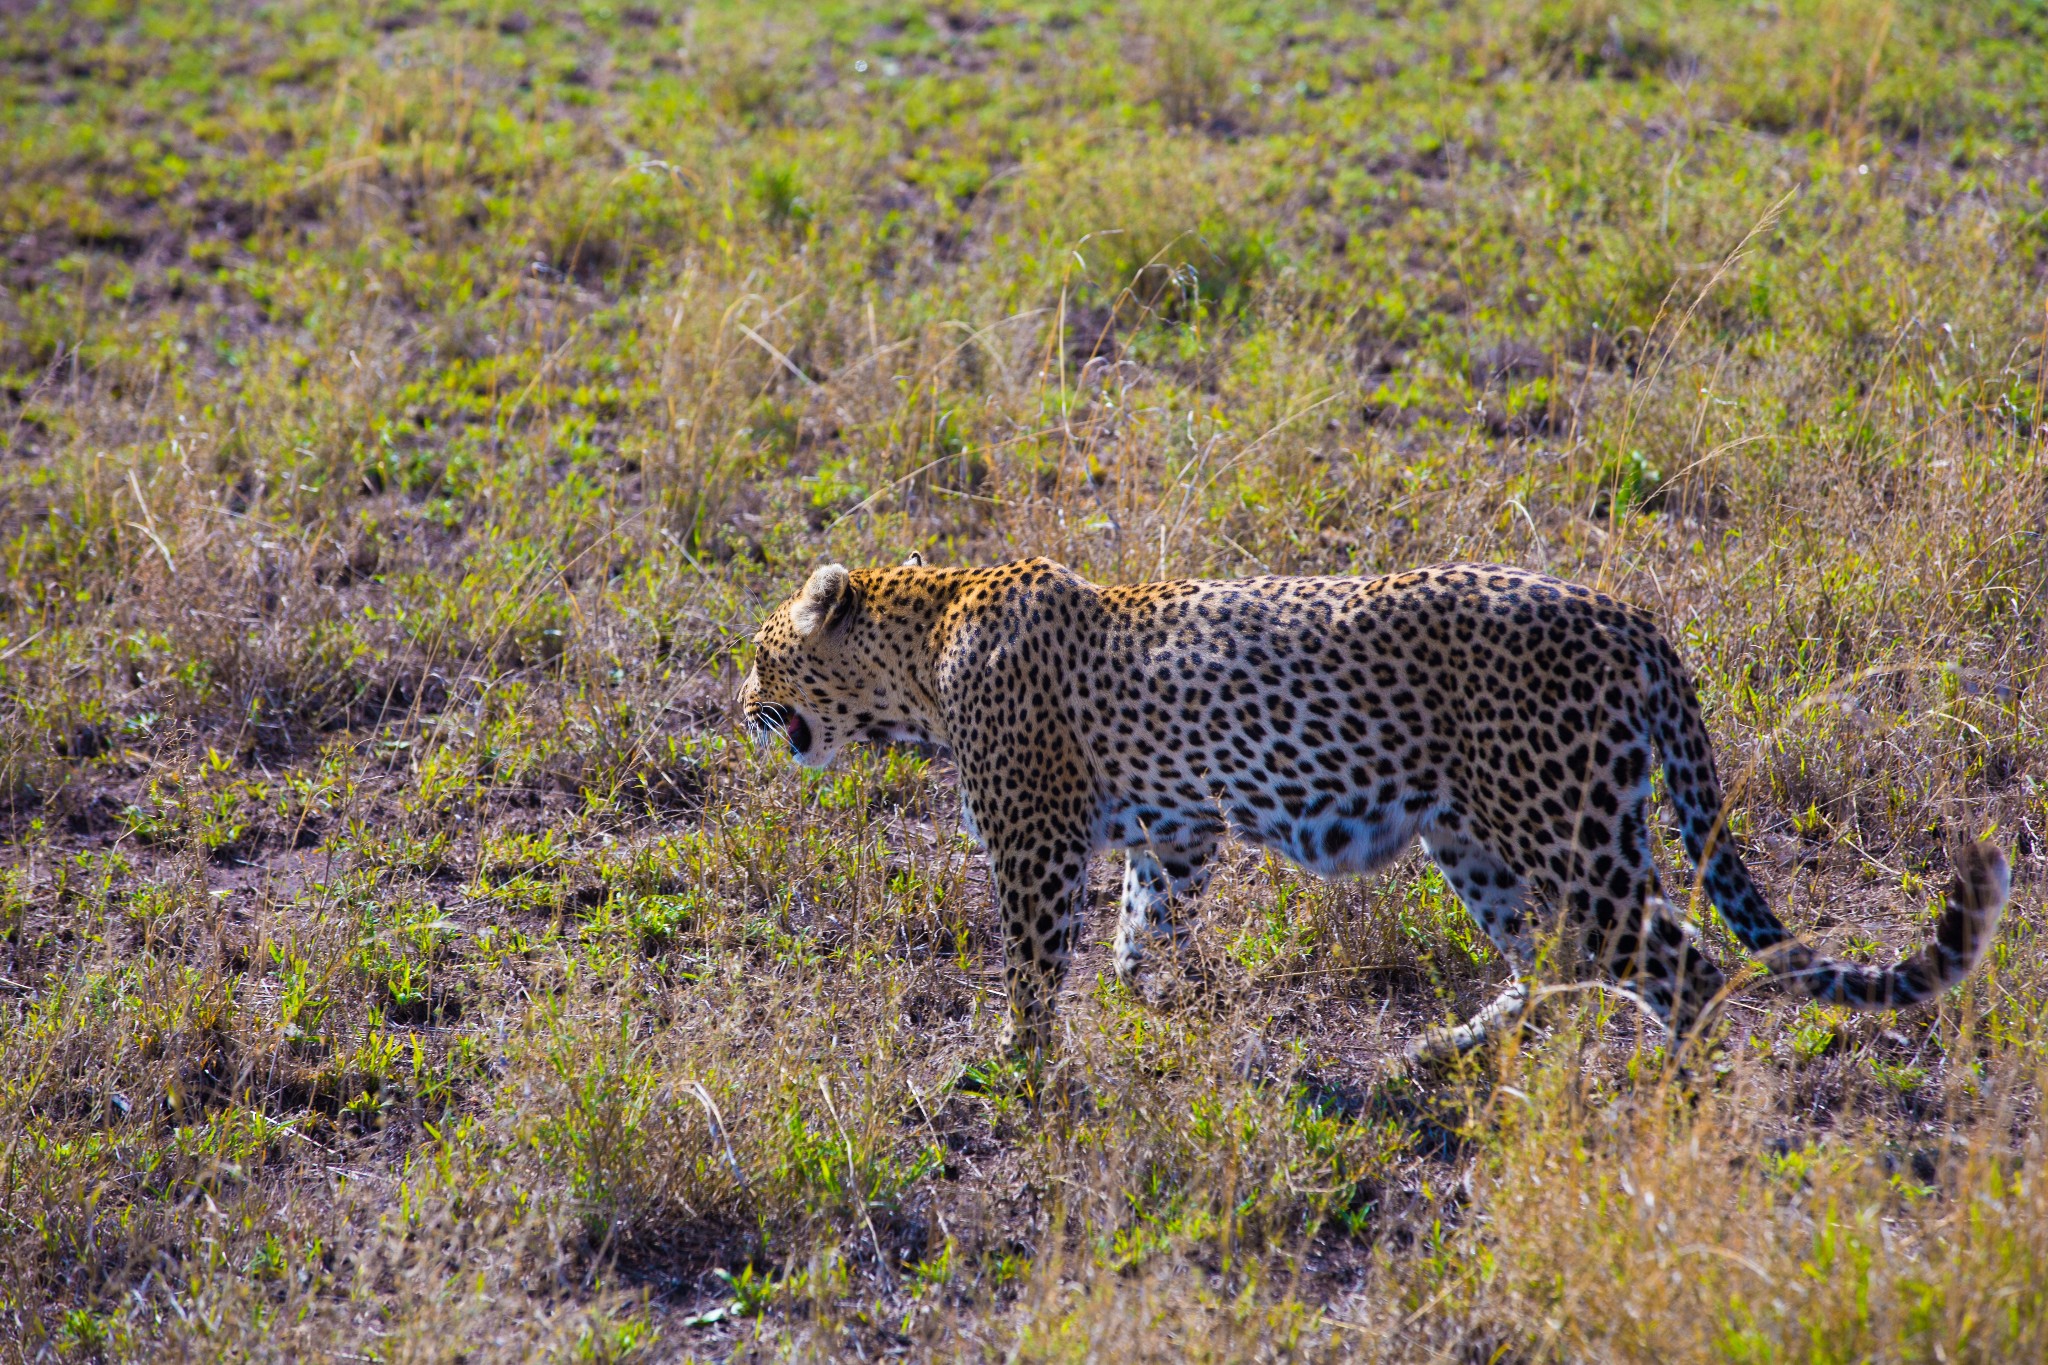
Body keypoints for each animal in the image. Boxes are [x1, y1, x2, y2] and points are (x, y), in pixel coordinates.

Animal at [733, 548, 1998, 1064]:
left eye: (759, 653)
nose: (738, 703)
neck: (922, 638)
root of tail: (1625, 614)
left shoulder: (1038, 840)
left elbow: (1037, 958)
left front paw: (1017, 1061)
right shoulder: (1177, 829)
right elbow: (1139, 934)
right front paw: (1171, 1000)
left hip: (1563, 829)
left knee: (1673, 961)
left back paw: (1665, 1098)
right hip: (1475, 836)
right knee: (1558, 958)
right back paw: (1448, 1050)